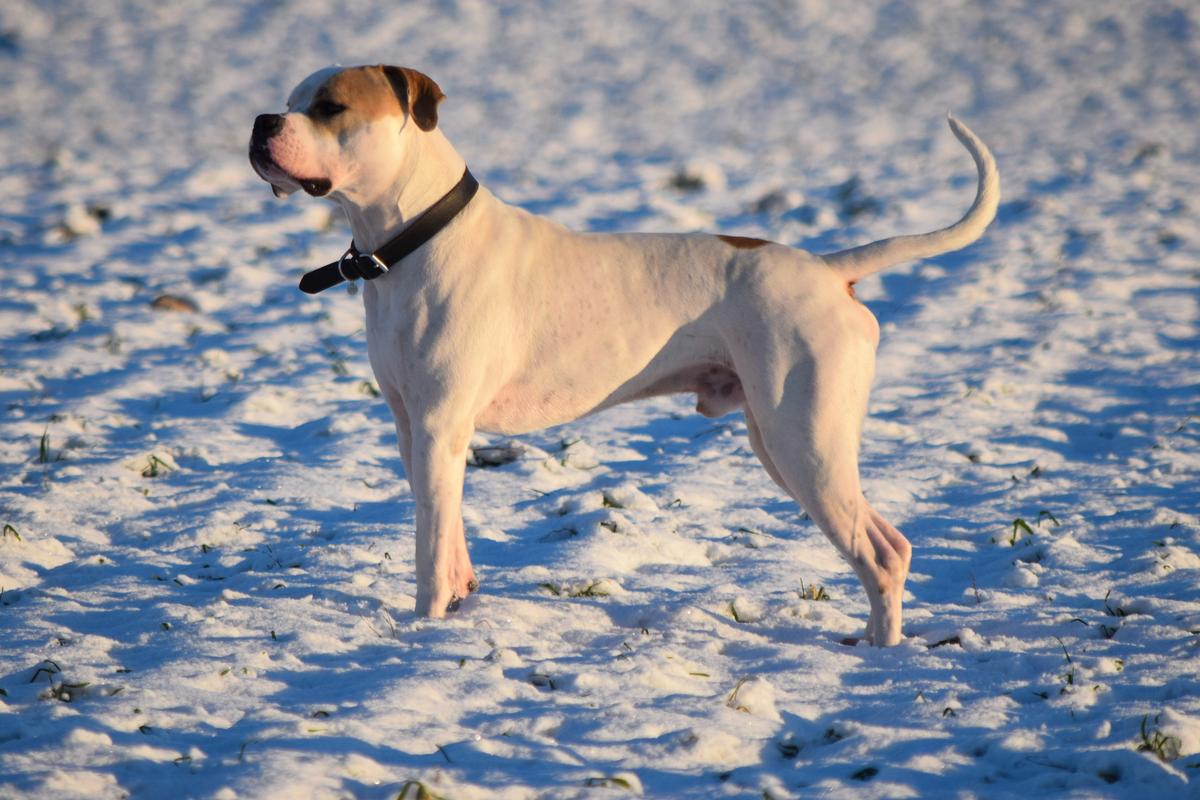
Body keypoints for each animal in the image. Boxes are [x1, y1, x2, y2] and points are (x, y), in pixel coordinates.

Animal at [248, 65, 998, 647]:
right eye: (289, 98)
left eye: (329, 106)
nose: (260, 121)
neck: (413, 237)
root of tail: (828, 269)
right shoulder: (416, 428)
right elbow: (449, 534)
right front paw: (460, 605)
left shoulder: (438, 427)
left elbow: (429, 548)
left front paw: (425, 631)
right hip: (781, 440)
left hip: (805, 442)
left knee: (882, 551)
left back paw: (881, 655)